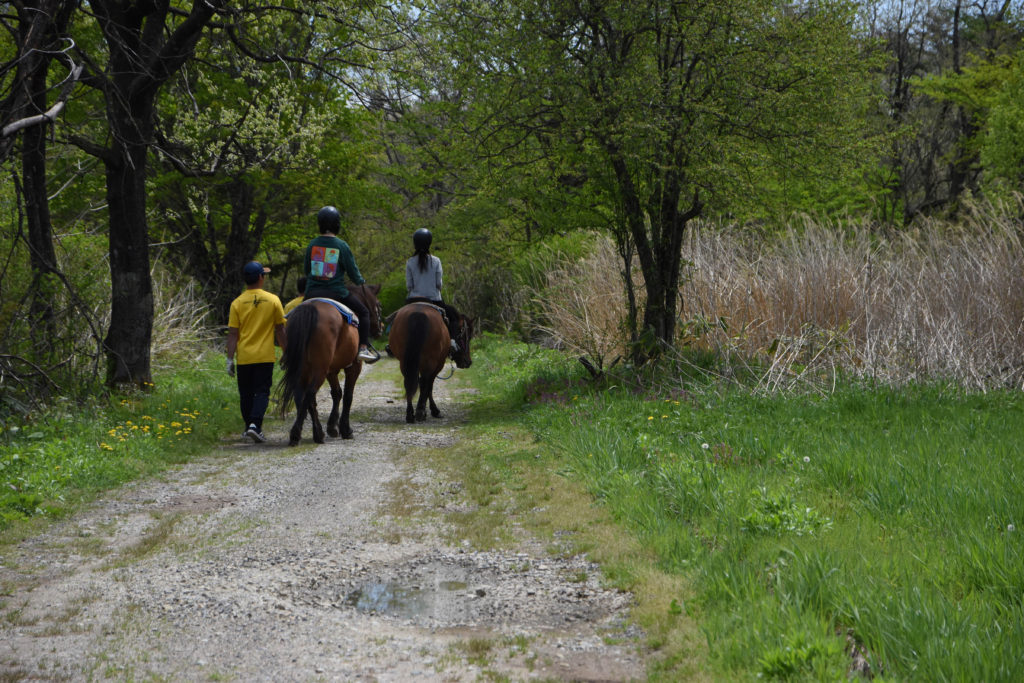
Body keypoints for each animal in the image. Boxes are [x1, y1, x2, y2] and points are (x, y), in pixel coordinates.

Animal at [276, 282, 380, 444]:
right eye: (378, 305)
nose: (380, 328)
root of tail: (310, 308)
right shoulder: (354, 367)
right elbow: (348, 395)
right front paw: (345, 429)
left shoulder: (331, 370)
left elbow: (337, 393)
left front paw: (332, 427)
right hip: (319, 369)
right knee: (310, 393)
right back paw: (304, 433)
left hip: (304, 368)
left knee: (302, 394)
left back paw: (311, 432)